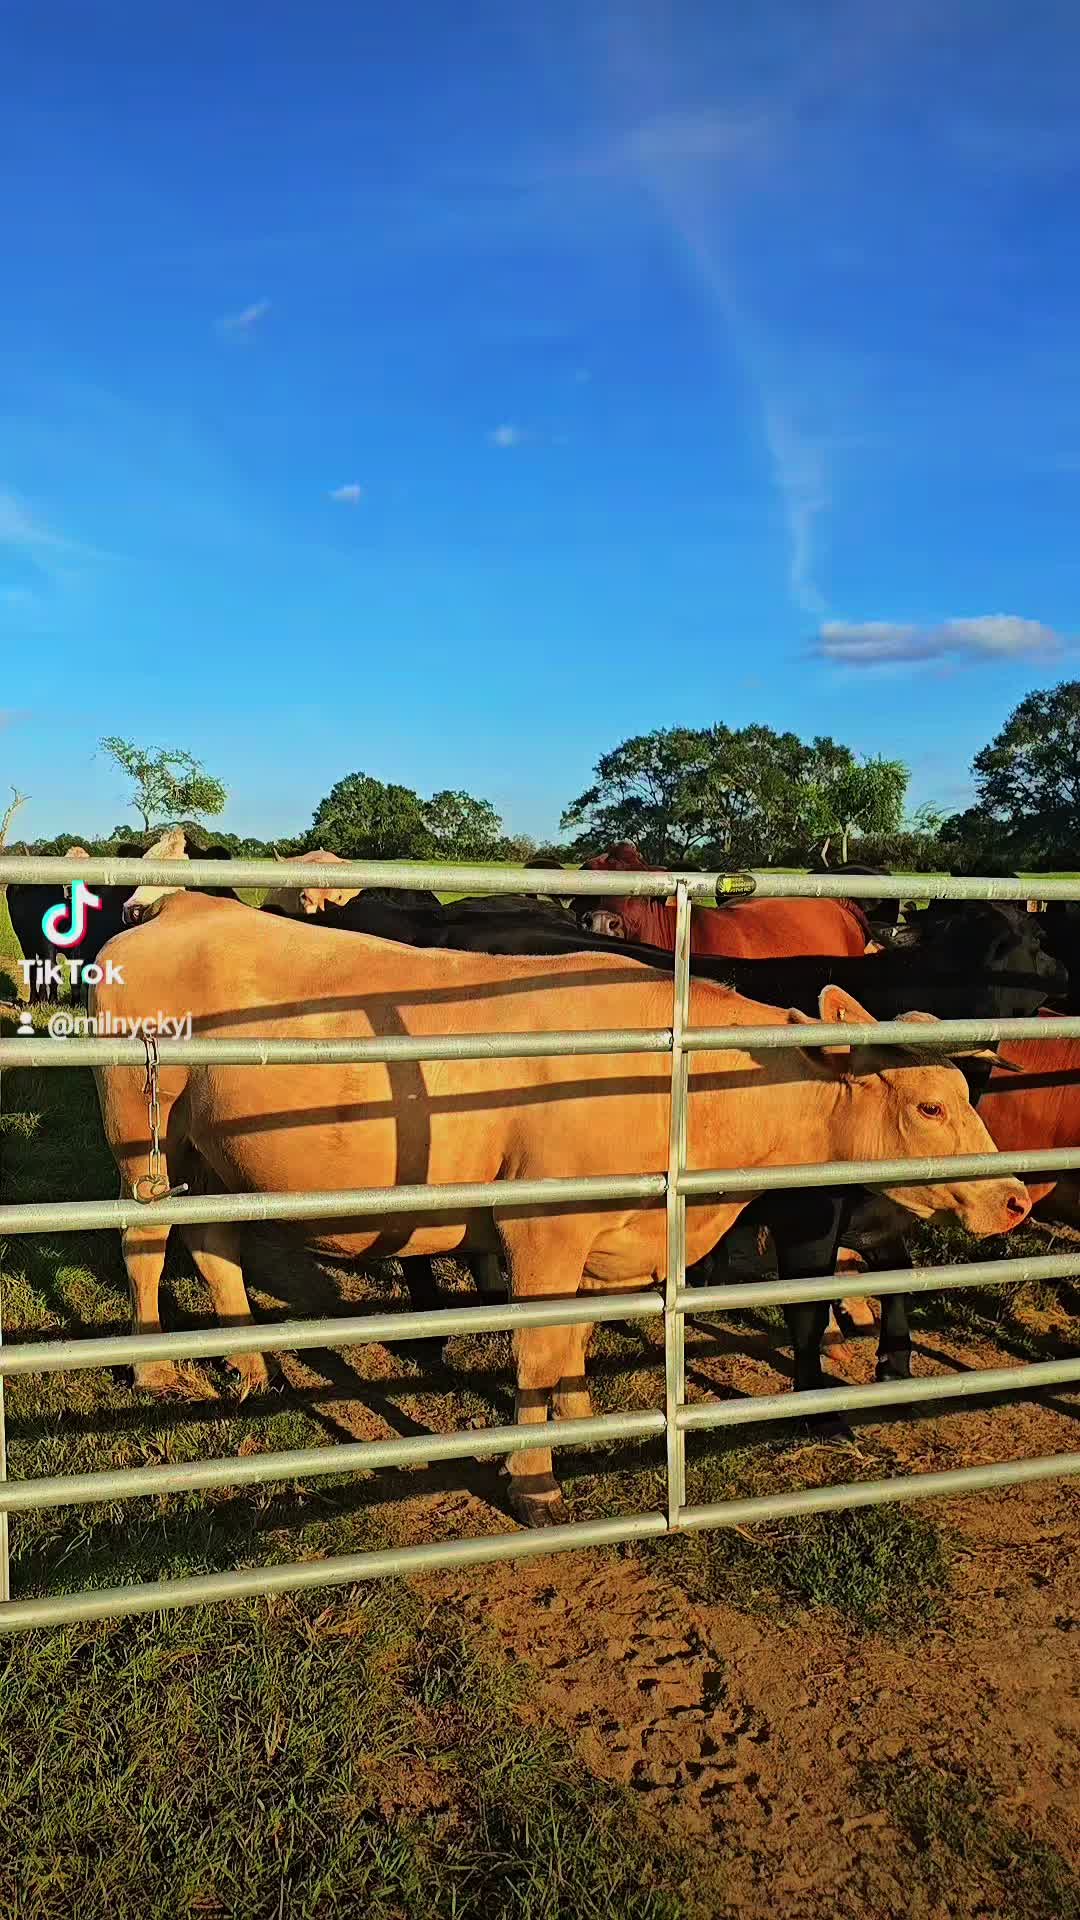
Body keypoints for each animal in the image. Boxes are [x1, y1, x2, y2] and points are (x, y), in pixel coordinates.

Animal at [89, 891, 1030, 1524]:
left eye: (966, 1092)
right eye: (931, 1106)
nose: (1016, 1197)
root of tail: (185, 904)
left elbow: (576, 1337)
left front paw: (583, 1421)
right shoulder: (543, 1230)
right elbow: (540, 1350)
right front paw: (536, 1479)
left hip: (214, 1147)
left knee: (214, 1240)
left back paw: (248, 1364)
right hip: (142, 1129)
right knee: (146, 1238)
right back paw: (153, 1366)